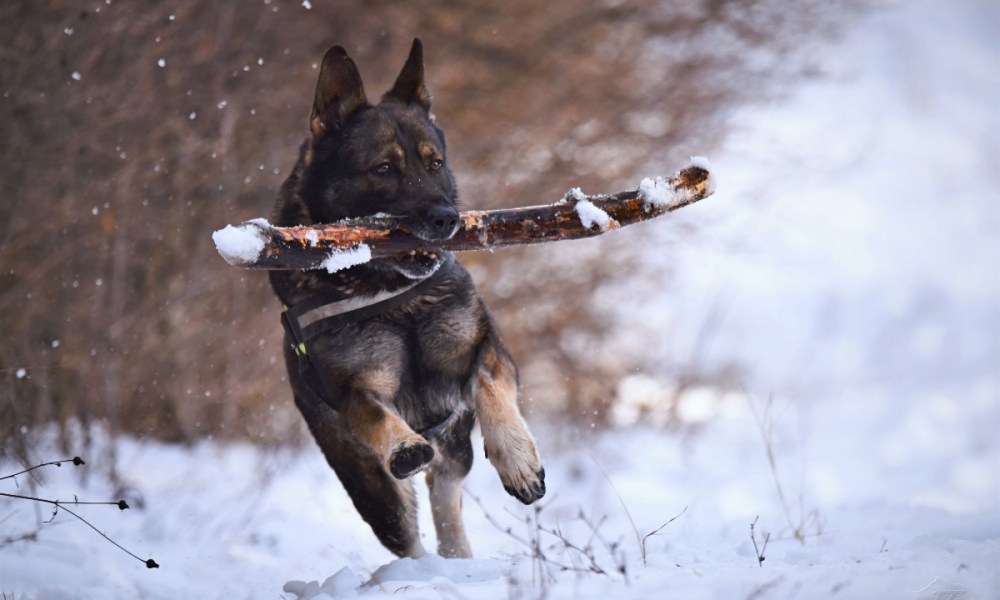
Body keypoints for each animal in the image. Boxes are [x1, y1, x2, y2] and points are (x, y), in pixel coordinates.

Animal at [270, 39, 544, 560]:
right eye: (384, 169)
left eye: (434, 163)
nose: (448, 219)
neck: (393, 296)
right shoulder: (354, 390)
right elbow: (378, 415)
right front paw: (402, 444)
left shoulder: (489, 349)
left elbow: (490, 387)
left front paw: (517, 458)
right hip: (373, 491)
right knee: (409, 530)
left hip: (454, 451)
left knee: (447, 496)